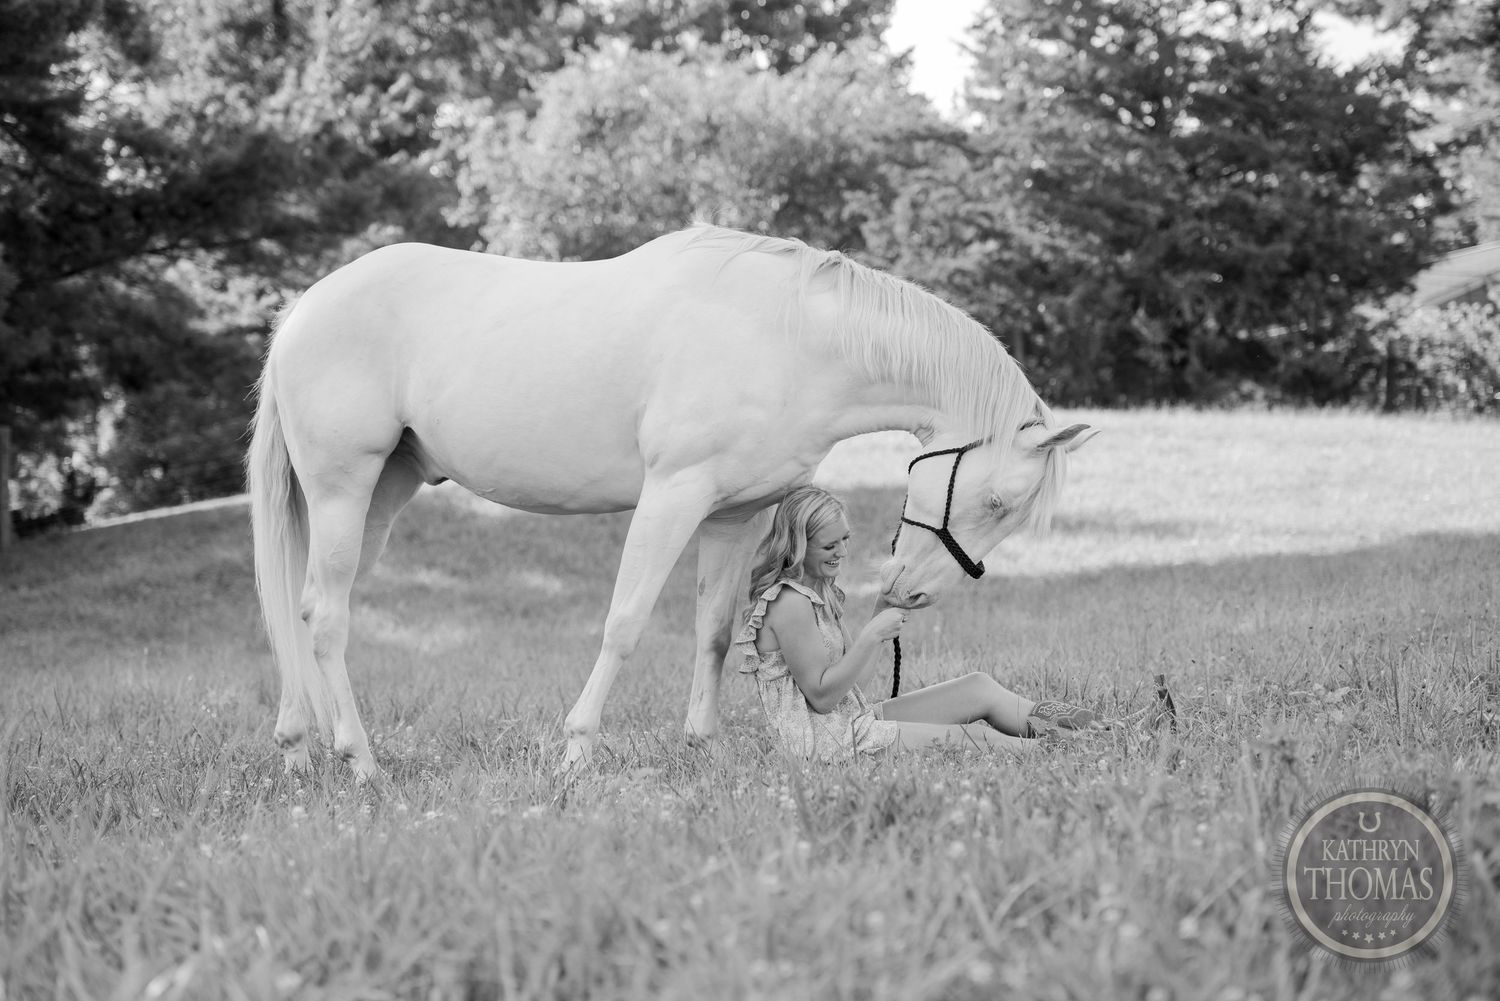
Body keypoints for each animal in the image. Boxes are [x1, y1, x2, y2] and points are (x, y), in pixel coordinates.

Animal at [246, 225, 1099, 779]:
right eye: (996, 499)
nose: (910, 593)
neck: (786, 337)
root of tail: (302, 313)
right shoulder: (673, 494)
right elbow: (624, 623)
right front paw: (578, 751)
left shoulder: (730, 513)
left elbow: (715, 631)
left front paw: (701, 747)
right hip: (344, 486)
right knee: (326, 613)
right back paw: (360, 761)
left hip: (380, 494)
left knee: (306, 608)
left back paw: (301, 748)